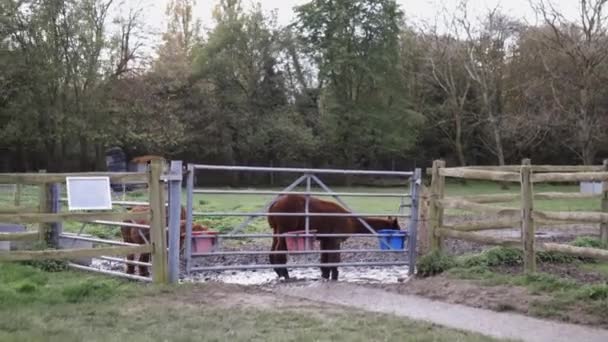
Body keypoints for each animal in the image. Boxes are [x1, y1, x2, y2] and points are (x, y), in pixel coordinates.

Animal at [268, 195, 402, 280]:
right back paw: (285, 274)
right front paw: (335, 276)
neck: (351, 222)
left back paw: (278, 272)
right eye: (398, 229)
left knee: (272, 250)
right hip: (285, 229)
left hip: (276, 229)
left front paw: (325, 275)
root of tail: (274, 204)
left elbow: (325, 258)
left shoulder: (326, 238)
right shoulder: (335, 238)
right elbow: (334, 258)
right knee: (279, 251)